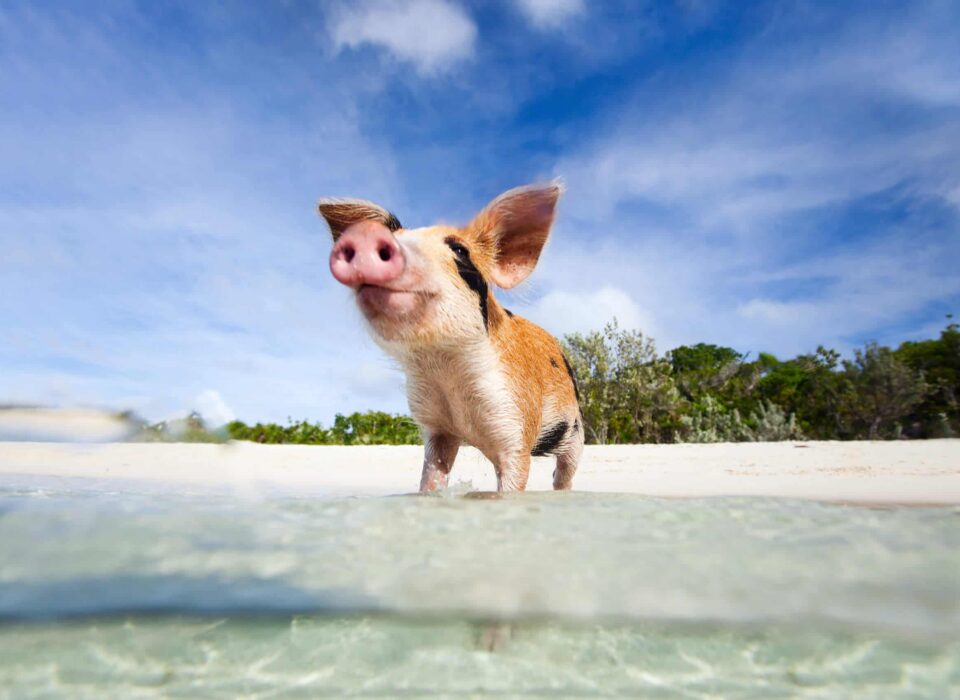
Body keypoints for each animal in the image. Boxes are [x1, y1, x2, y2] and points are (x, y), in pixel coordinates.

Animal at [319, 183, 582, 493]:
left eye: (459, 249)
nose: (366, 235)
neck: (445, 371)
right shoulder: (437, 429)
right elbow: (432, 474)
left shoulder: (516, 420)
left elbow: (514, 477)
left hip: (576, 427)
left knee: (564, 472)